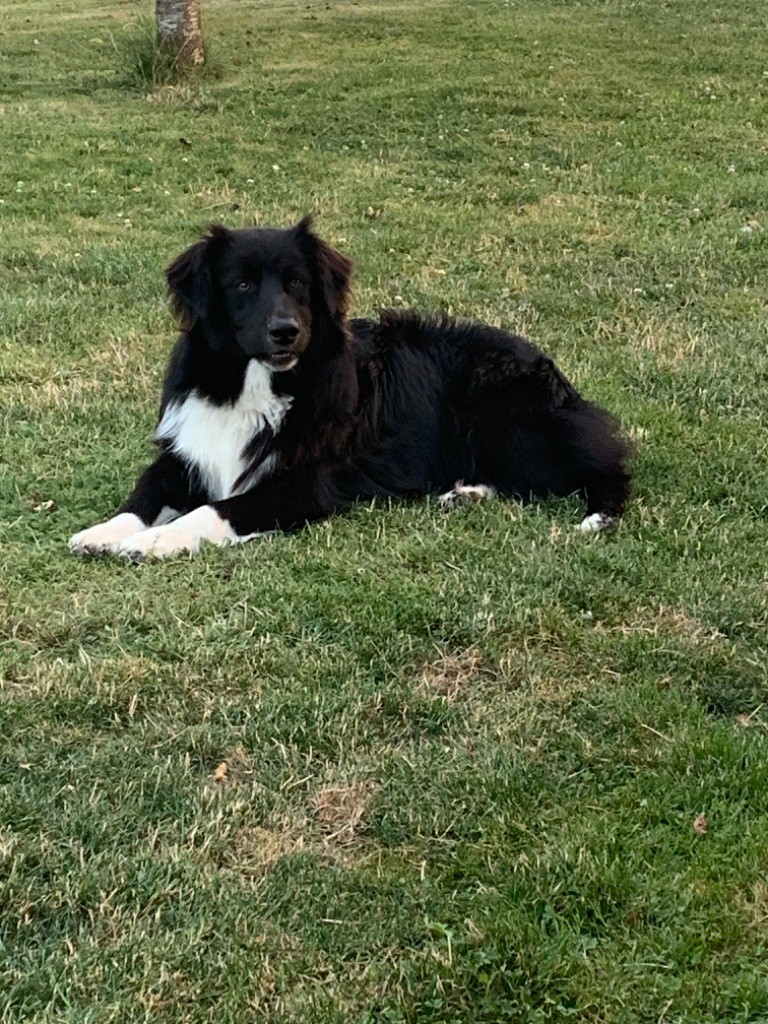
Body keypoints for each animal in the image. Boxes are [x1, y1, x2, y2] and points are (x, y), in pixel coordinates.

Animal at [67, 217, 630, 565]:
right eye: (242, 285)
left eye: (297, 283)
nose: (286, 331)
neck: (253, 385)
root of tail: (554, 372)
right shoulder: (190, 450)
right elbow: (145, 491)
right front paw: (105, 531)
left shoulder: (304, 481)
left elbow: (214, 509)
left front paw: (154, 540)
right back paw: (465, 492)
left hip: (506, 427)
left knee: (607, 468)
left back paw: (597, 516)